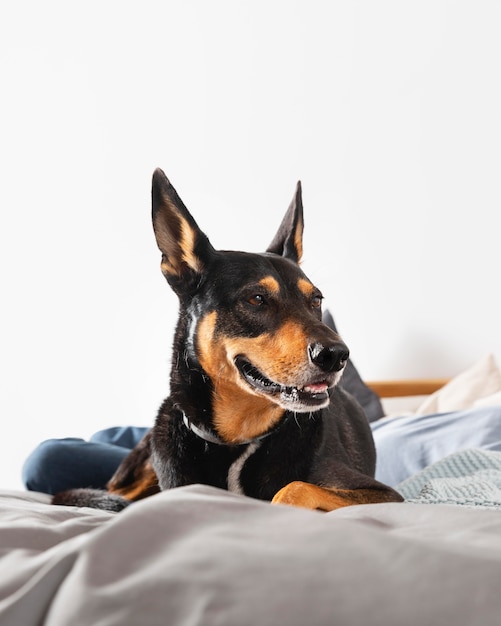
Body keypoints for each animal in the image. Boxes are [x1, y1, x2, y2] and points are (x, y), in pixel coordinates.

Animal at [51, 167, 402, 512]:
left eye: (316, 300)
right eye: (256, 299)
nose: (336, 355)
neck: (239, 441)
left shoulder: (384, 494)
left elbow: (292, 489)